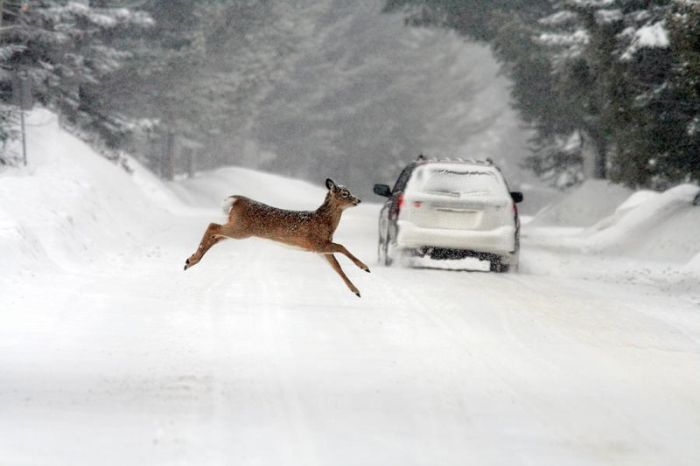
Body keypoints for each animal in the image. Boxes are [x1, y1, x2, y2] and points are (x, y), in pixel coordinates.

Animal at [185, 178, 372, 298]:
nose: (358, 200)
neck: (324, 221)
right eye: (345, 193)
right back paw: (192, 260)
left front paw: (356, 291)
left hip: (238, 230)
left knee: (215, 235)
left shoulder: (321, 249)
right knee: (212, 226)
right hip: (240, 229)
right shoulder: (315, 243)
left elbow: (337, 267)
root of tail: (236, 200)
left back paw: (190, 261)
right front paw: (365, 267)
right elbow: (342, 247)